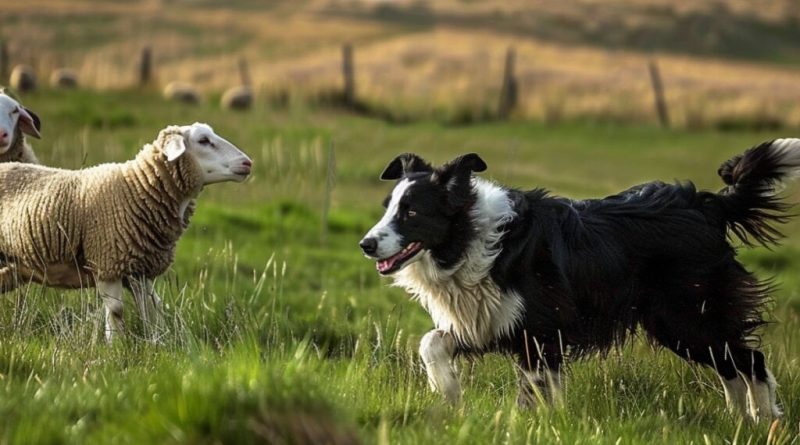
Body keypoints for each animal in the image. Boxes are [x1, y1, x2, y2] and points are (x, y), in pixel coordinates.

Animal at [0, 121, 253, 340]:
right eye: (203, 140)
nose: (248, 163)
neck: (135, 188)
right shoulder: (107, 261)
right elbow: (116, 310)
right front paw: (116, 350)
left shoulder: (139, 269)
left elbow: (151, 309)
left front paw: (159, 343)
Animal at [360, 141, 800, 420]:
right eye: (388, 208)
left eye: (411, 212)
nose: (366, 244)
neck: (470, 239)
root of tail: (708, 205)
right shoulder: (488, 318)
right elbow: (430, 342)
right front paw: (448, 391)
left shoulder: (541, 329)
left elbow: (534, 389)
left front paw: (530, 424)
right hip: (679, 324)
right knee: (730, 366)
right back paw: (737, 420)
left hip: (688, 315)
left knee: (751, 360)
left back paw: (766, 420)